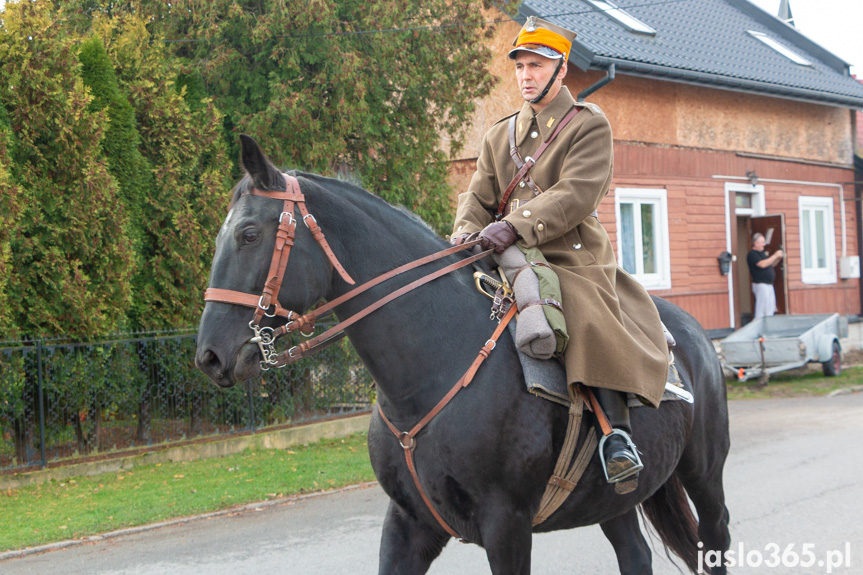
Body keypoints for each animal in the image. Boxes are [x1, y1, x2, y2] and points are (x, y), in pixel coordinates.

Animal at [194, 137, 728, 572]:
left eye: (248, 235)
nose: (209, 356)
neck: (428, 372)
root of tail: (693, 333)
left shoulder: (507, 527)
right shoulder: (408, 525)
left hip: (704, 477)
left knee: (714, 539)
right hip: (609, 502)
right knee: (634, 554)